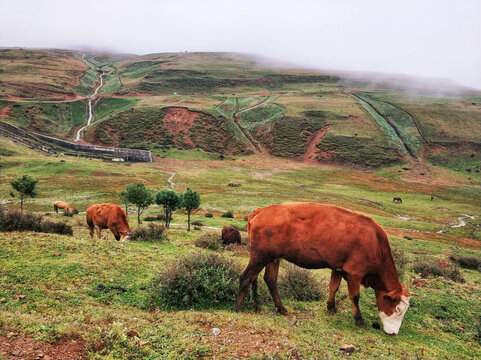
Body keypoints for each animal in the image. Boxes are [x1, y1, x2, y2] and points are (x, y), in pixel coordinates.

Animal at [234, 202, 410, 334]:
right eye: (396, 309)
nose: (394, 333)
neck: (374, 243)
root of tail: (261, 210)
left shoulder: (338, 267)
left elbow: (334, 286)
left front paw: (331, 307)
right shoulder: (355, 272)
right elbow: (355, 296)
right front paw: (359, 320)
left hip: (273, 258)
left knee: (270, 280)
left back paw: (281, 308)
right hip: (260, 256)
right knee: (246, 277)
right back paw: (238, 309)